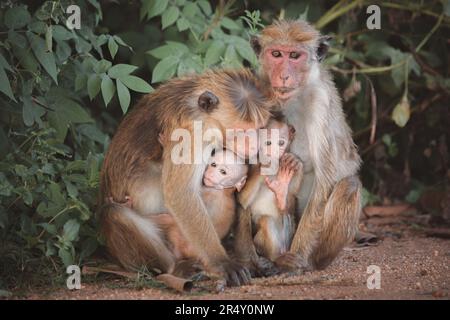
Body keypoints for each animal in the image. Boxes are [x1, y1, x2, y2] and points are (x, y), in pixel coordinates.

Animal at [236, 115, 302, 270]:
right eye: (268, 142)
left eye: (281, 142)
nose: (274, 152)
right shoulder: (249, 165)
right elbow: (241, 200)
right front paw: (265, 165)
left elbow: (292, 201)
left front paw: (282, 191)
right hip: (259, 243)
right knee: (266, 220)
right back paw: (276, 258)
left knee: (287, 216)